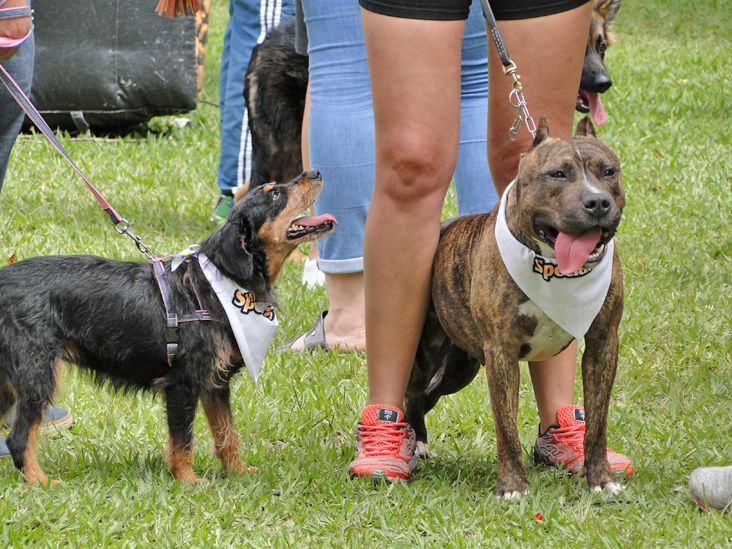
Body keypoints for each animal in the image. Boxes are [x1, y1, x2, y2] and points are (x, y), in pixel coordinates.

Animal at [0, 169, 336, 482]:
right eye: (275, 195)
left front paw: (238, 473)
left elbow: (227, 434)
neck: (216, 284)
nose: (315, 172)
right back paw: (41, 481)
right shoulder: (182, 383)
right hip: (37, 374)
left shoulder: (215, 384)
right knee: (18, 438)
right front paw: (188, 480)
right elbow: (183, 440)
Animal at [406, 117, 624, 498]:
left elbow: (597, 422)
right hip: (431, 357)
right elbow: (505, 425)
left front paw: (601, 479)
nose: (597, 202)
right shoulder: (501, 351)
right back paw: (414, 442)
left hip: (458, 367)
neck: (553, 270)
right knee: (413, 392)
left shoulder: (603, 343)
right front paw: (512, 487)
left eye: (608, 171)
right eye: (557, 174)